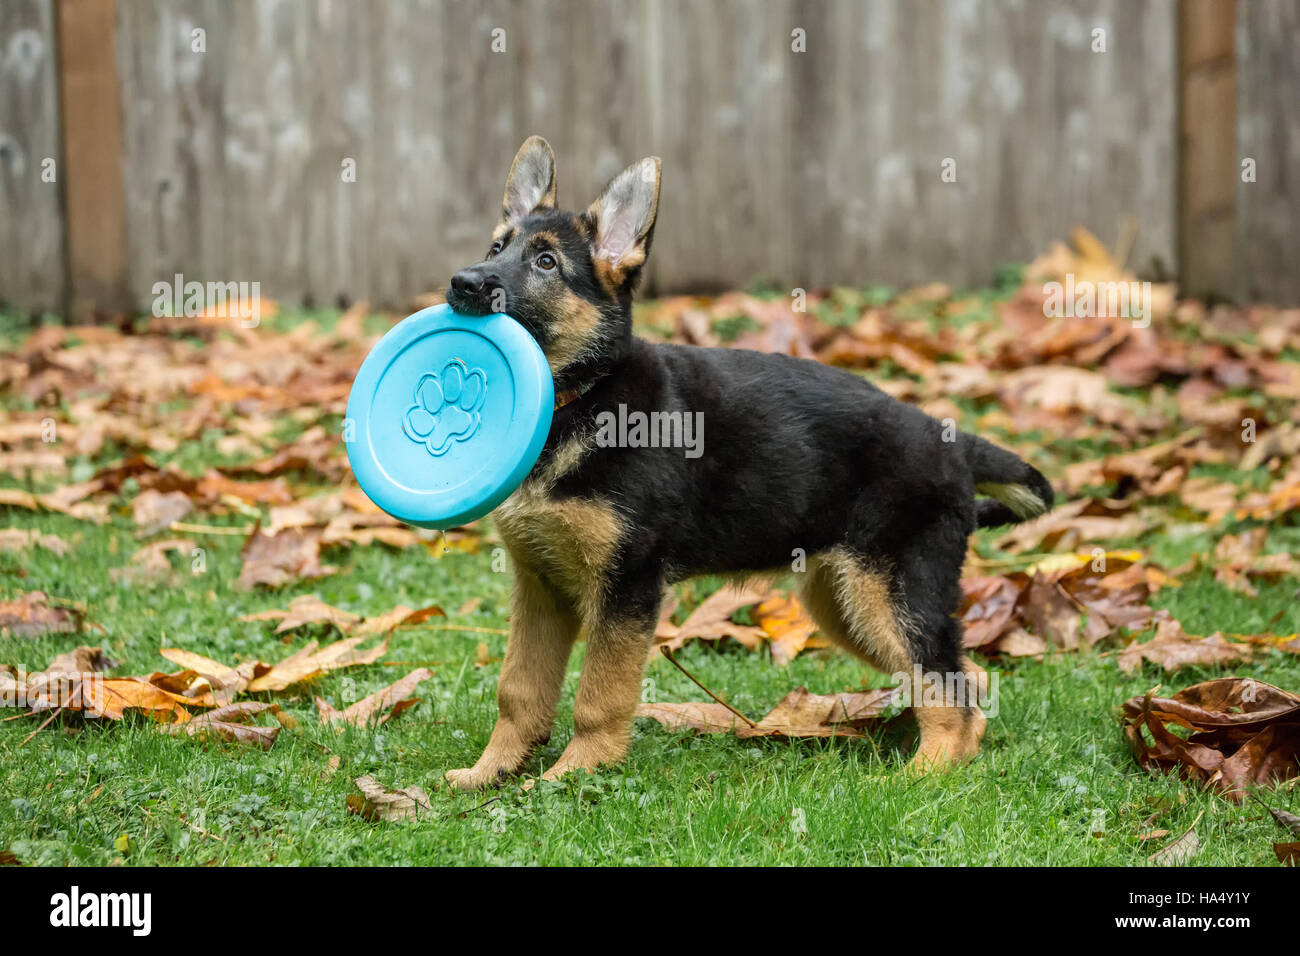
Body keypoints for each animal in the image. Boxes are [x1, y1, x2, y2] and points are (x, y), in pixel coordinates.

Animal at [441, 136, 1050, 790]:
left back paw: (919, 778)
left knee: (946, 683)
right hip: (847, 605)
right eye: (497, 249)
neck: (582, 395)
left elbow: (599, 696)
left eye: (547, 263)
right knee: (965, 679)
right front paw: (490, 772)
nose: (462, 283)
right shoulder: (540, 586)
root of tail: (951, 441)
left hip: (892, 592)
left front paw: (575, 774)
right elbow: (518, 689)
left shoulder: (628, 586)